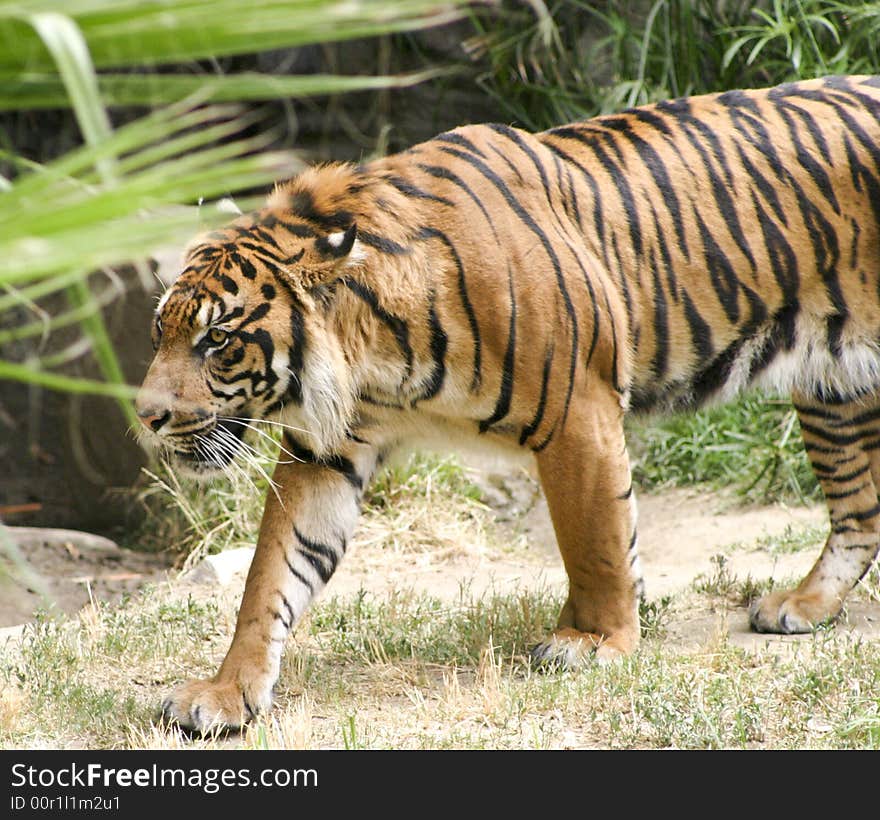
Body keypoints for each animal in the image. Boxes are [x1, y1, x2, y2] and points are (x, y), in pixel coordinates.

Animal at [136, 75, 880, 732]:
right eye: (159, 332)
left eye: (217, 339)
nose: (146, 416)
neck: (373, 356)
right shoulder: (326, 453)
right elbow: (272, 576)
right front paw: (227, 693)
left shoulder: (579, 414)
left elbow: (595, 543)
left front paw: (594, 642)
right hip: (836, 388)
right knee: (859, 512)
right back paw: (806, 605)